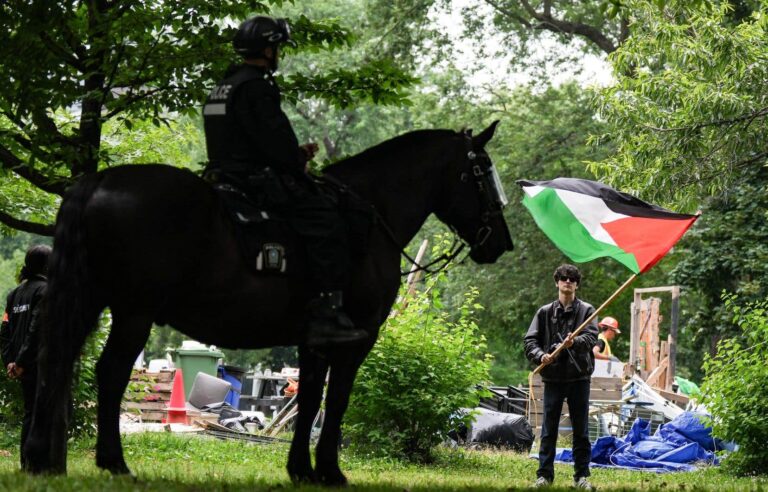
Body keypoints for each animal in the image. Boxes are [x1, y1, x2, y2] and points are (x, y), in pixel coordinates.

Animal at [27, 121, 512, 482]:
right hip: (133, 311)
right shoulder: (358, 340)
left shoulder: (314, 341)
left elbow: (311, 399)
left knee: (56, 361)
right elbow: (336, 401)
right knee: (109, 373)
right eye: (485, 172)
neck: (369, 218)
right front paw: (330, 471)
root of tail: (99, 179)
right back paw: (113, 461)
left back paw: (41, 458)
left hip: (89, 301)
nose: (501, 243)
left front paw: (301, 470)